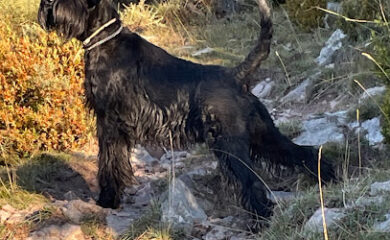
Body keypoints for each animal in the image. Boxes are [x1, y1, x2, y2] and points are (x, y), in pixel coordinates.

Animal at [37, 0, 336, 218]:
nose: (48, 3)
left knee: (252, 183)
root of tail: (236, 76)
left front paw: (107, 200)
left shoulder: (109, 122)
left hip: (230, 145)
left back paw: (260, 219)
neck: (107, 41)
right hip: (263, 135)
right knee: (303, 152)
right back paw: (328, 177)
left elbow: (109, 163)